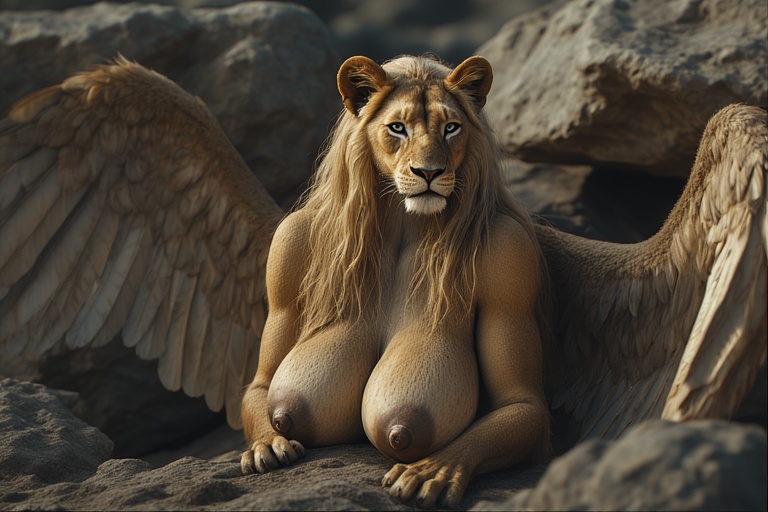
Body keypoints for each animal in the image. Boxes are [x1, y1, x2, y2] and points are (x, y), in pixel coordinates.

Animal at [238, 55, 552, 507]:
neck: (403, 223)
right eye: (397, 127)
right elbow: (260, 384)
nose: (429, 172)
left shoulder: (512, 254)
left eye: (451, 127)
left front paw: (433, 469)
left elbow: (521, 401)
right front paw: (268, 444)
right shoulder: (287, 243)